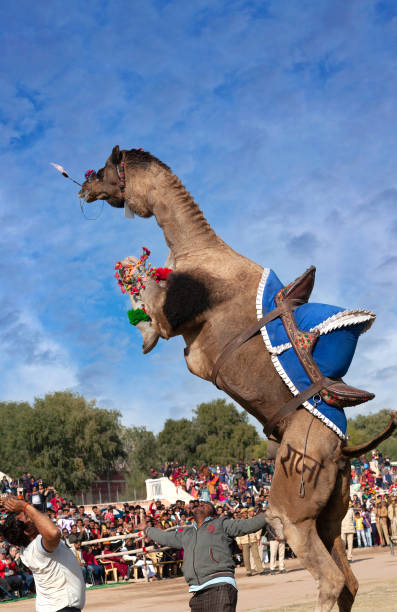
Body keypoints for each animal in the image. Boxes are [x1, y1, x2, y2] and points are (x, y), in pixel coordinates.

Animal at [78, 148, 396, 612]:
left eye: (103, 169)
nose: (83, 188)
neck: (199, 251)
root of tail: (345, 450)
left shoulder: (184, 329)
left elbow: (151, 306)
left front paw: (142, 320)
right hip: (332, 510)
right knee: (349, 580)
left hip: (294, 508)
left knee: (330, 577)